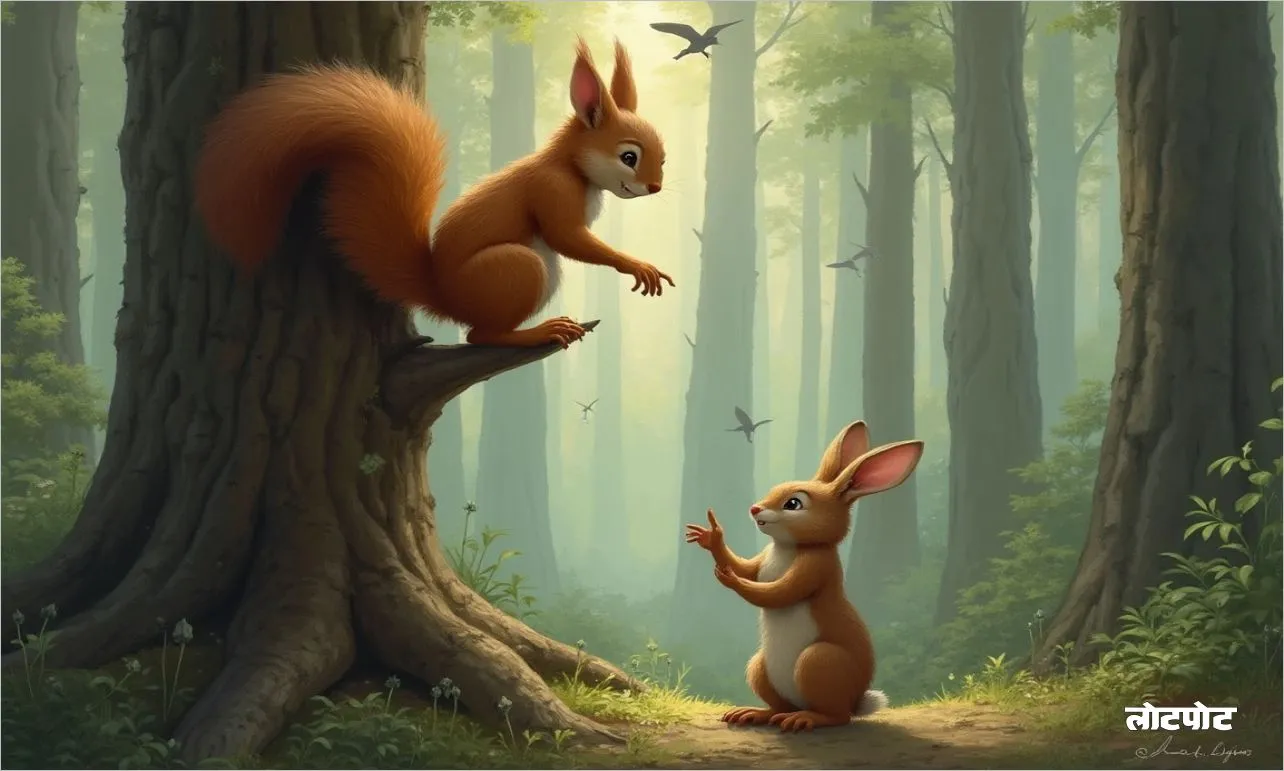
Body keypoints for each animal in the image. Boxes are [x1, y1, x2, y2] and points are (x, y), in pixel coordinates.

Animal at [194, 38, 673, 349]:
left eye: (664, 157)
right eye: (629, 156)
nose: (655, 187)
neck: (572, 166)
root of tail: (445, 297)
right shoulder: (551, 190)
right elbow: (566, 237)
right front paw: (637, 265)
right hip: (518, 269)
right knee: (481, 336)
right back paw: (537, 332)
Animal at [685, 421, 924, 732]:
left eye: (794, 503)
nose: (755, 508)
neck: (787, 546)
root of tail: (855, 701)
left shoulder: (816, 566)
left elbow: (778, 593)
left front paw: (731, 579)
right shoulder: (763, 561)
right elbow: (746, 568)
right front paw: (712, 537)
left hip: (818, 661)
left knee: (837, 716)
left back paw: (804, 719)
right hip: (760, 667)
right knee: (778, 706)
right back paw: (755, 713)